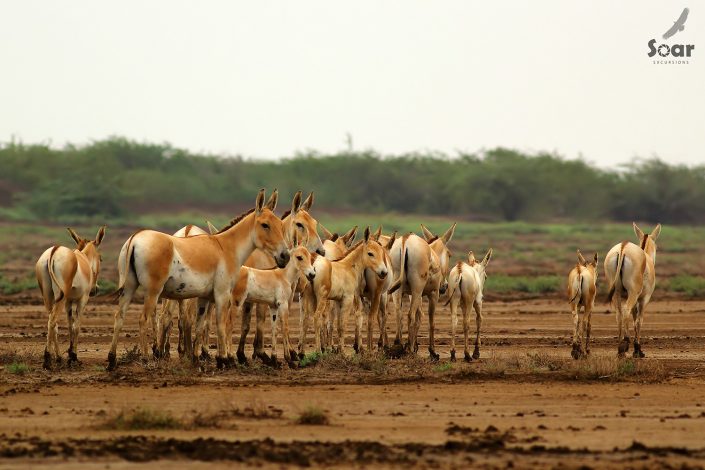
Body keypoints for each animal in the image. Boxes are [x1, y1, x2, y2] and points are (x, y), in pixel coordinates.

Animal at [36, 226, 106, 370]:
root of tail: (54, 251)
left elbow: (69, 325)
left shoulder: (68, 302)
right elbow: (76, 326)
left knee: (52, 322)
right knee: (53, 320)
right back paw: (47, 361)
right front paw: (74, 356)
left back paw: (57, 358)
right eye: (101, 258)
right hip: (60, 298)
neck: (84, 259)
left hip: (48, 296)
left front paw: (69, 355)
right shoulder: (82, 299)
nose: (95, 290)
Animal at [108, 189, 288, 370]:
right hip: (153, 291)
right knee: (143, 320)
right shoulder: (223, 294)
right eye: (265, 225)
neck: (226, 248)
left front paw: (196, 359)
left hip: (129, 287)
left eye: (280, 224)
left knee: (119, 317)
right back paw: (145, 359)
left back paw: (112, 360)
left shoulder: (204, 297)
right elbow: (221, 325)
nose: (285, 256)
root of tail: (135, 238)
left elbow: (200, 326)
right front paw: (225, 360)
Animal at [604, 222, 660, 358]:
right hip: (633, 294)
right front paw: (638, 349)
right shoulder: (644, 298)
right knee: (625, 311)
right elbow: (639, 321)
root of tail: (623, 247)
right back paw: (625, 343)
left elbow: (634, 318)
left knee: (619, 314)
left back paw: (620, 348)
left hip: (616, 292)